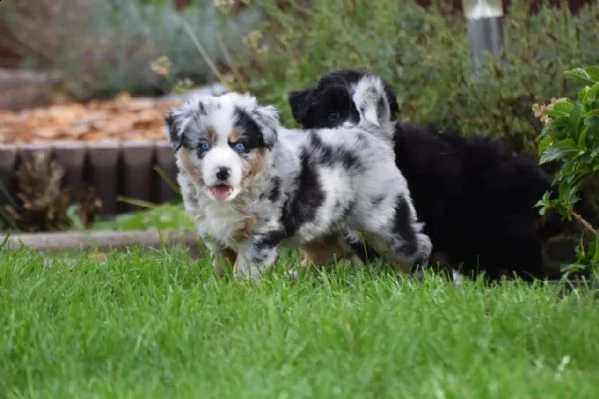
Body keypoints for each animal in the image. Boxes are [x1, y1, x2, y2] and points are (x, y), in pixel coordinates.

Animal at [165, 76, 432, 282]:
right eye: (204, 146)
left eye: (240, 145)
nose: (222, 171)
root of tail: (370, 133)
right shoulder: (213, 232)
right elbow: (222, 263)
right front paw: (222, 286)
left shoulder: (264, 230)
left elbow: (247, 266)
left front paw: (242, 291)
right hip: (322, 224)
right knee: (327, 253)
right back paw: (296, 277)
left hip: (385, 218)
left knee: (416, 246)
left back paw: (410, 281)